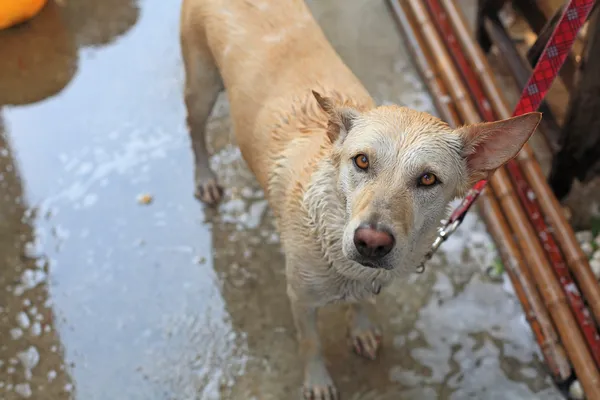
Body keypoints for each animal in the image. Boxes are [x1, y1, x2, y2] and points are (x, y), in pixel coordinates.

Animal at [178, 0, 540, 396]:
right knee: (194, 130)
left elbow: (363, 303)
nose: (372, 243)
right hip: (201, 86)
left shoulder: (369, 281)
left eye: (428, 179)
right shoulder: (299, 299)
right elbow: (311, 344)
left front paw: (361, 328)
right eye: (362, 160)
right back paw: (204, 178)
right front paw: (318, 381)